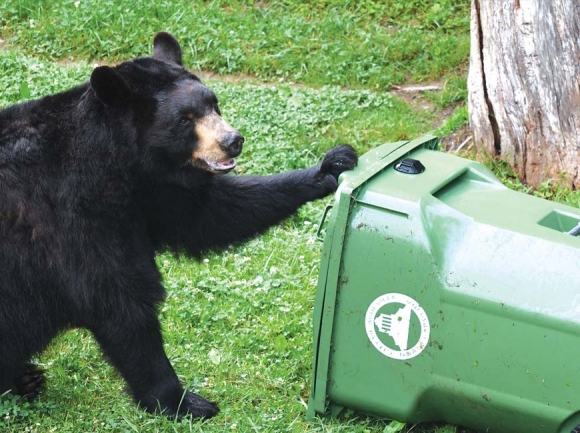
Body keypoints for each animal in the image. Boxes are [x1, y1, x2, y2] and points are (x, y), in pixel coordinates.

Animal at [0, 32, 358, 416]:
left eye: (214, 105)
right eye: (184, 118)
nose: (233, 141)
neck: (114, 162)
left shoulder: (149, 195)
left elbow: (210, 214)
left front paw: (331, 165)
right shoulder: (71, 214)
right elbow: (116, 298)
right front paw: (184, 401)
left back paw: (25, 379)